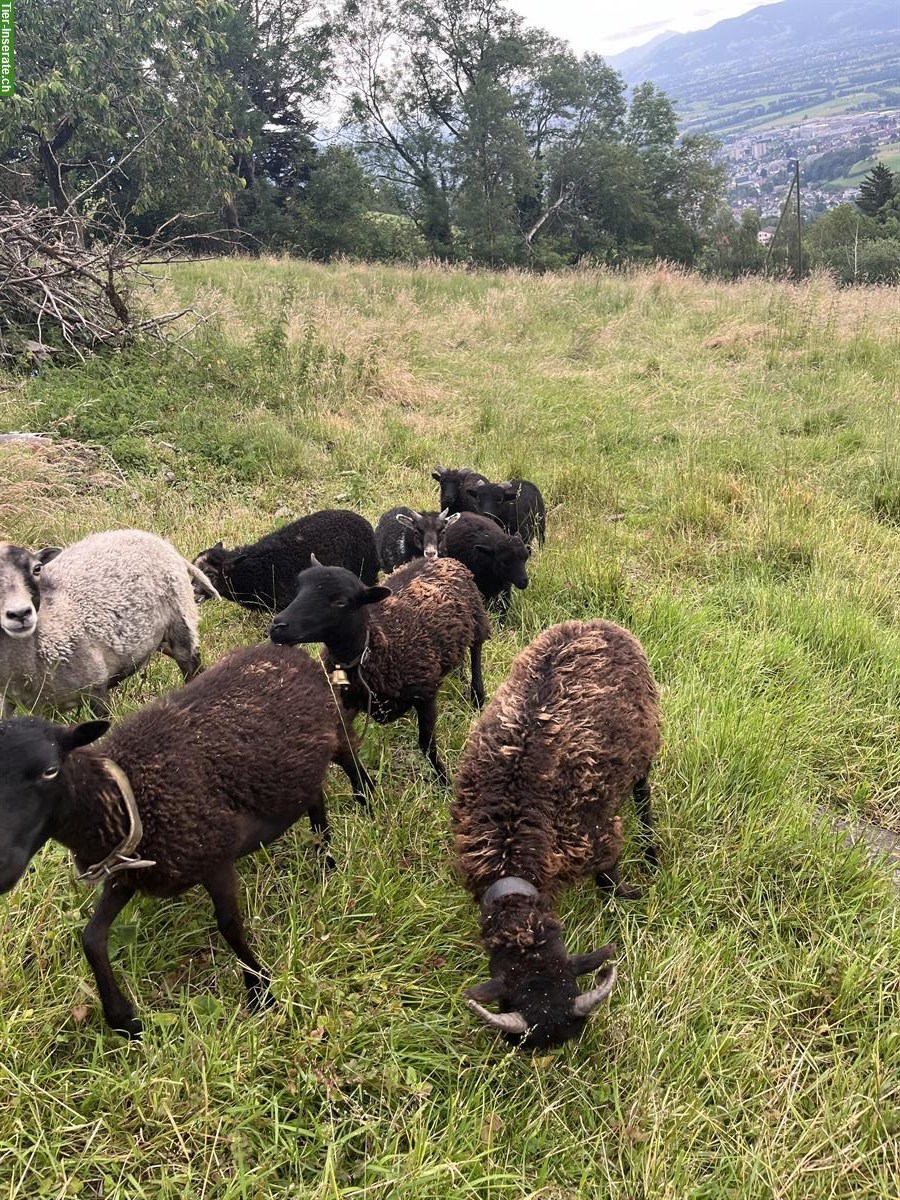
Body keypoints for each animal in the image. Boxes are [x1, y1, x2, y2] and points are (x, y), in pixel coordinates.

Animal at [0, 532, 218, 715]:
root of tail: (155, 539)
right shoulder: (10, 702)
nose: (20, 614)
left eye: (37, 568)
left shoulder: (96, 690)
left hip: (181, 620)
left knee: (191, 664)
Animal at [0, 638, 374, 1041]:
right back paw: (325, 859)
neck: (127, 795)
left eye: (50, 770)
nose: (2, 867)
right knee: (315, 797)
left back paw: (367, 810)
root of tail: (284, 650)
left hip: (336, 728)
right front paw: (124, 1021)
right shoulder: (129, 873)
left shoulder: (214, 858)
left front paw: (261, 992)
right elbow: (92, 938)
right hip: (297, 768)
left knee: (355, 766)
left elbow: (229, 925)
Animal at [453, 619, 657, 1051]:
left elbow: (609, 881)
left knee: (643, 794)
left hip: (647, 745)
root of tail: (596, 623)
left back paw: (651, 850)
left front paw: (630, 896)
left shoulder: (596, 837)